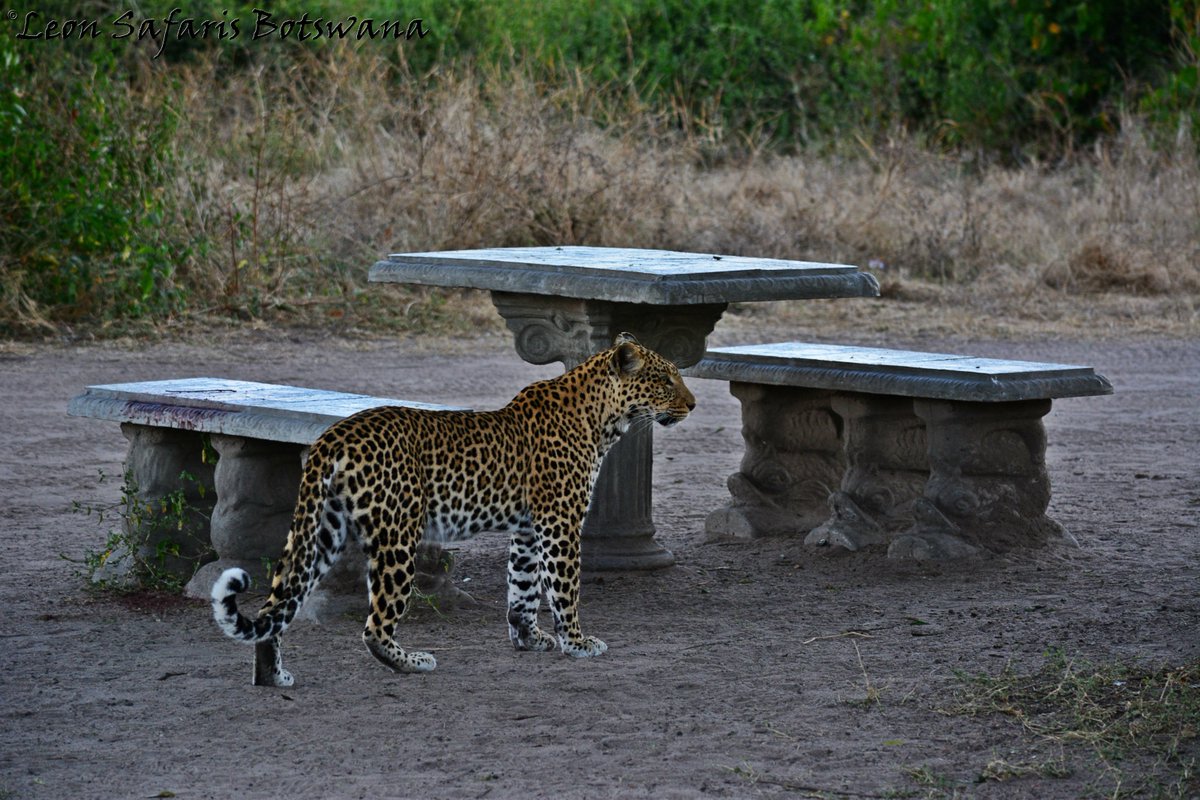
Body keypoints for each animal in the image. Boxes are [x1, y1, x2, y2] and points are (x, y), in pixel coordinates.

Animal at [211, 333, 695, 686]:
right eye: (666, 380)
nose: (692, 404)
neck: (604, 419)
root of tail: (333, 435)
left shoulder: (527, 528)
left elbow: (522, 589)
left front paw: (529, 638)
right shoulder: (560, 522)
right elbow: (563, 589)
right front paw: (576, 643)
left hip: (322, 531)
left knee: (278, 606)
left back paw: (271, 676)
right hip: (397, 534)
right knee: (375, 624)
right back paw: (412, 661)